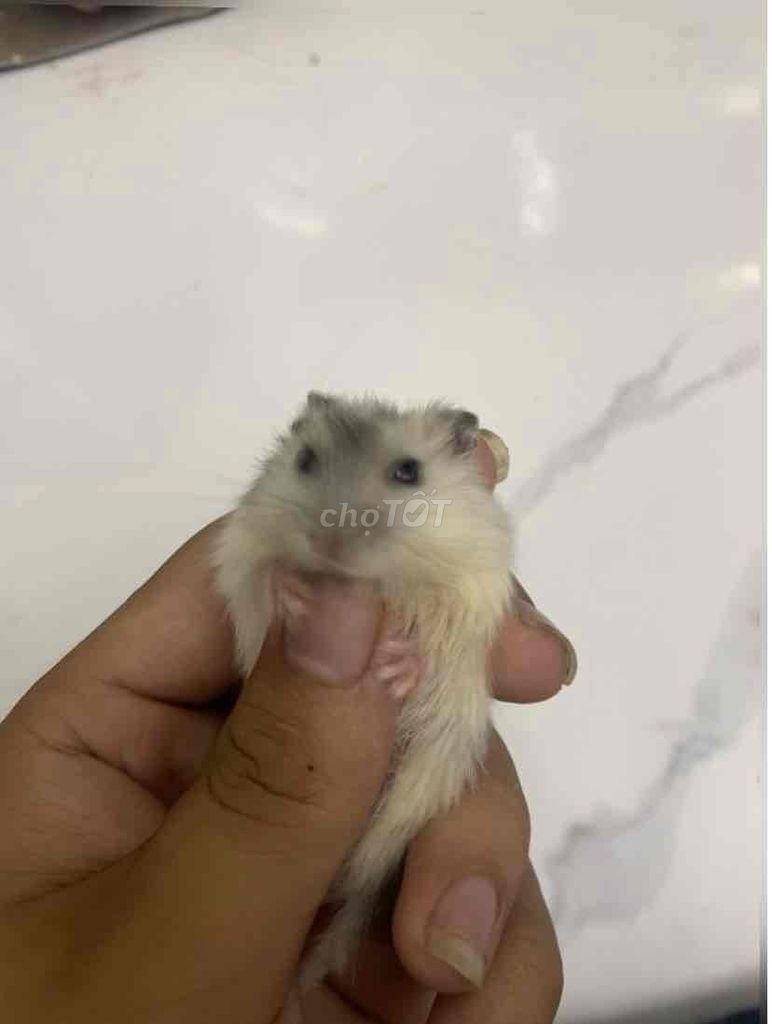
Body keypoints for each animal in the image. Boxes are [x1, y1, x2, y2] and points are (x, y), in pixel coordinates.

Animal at [212, 391, 513, 984]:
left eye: (409, 472)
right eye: (305, 460)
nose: (329, 545)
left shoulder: (472, 584)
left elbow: (435, 633)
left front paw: (397, 663)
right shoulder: (242, 552)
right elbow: (263, 580)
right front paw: (297, 597)